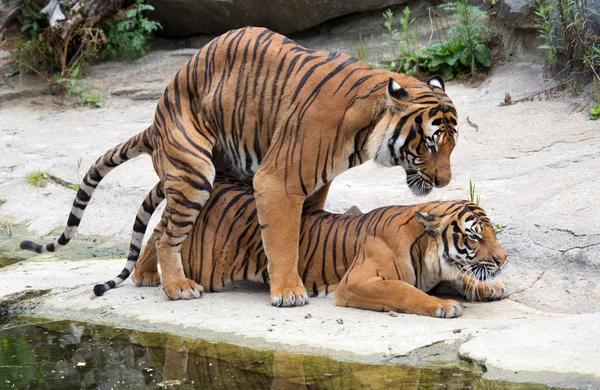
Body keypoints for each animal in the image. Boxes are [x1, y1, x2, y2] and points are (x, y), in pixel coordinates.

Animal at [21, 26, 458, 308]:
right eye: (430, 143)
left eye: (452, 145)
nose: (444, 181)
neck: (367, 127)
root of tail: (156, 119)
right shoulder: (279, 180)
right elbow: (282, 237)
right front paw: (288, 292)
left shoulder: (315, 184)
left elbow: (303, 228)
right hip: (195, 173)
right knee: (167, 234)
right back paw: (177, 287)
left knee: (161, 225)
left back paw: (149, 276)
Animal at [131, 177, 506, 316]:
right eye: (474, 236)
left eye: (492, 233)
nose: (503, 260)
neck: (428, 255)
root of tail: (218, 184)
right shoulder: (356, 282)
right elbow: (403, 291)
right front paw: (442, 305)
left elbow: (464, 277)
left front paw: (491, 288)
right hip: (207, 265)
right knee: (162, 234)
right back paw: (171, 283)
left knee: (160, 230)